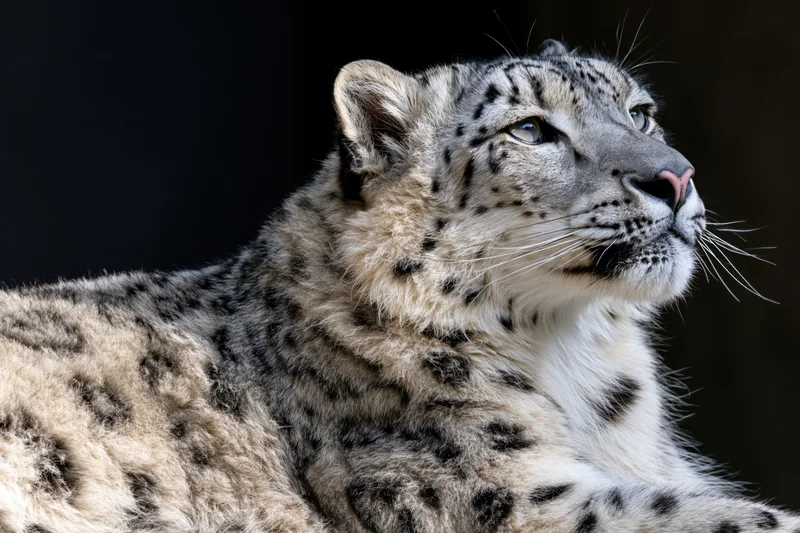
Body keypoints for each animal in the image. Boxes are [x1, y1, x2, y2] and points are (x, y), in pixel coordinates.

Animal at [0, 38, 795, 532]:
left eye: (641, 112)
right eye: (531, 129)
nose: (677, 176)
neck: (576, 357)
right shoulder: (503, 496)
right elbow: (734, 517)